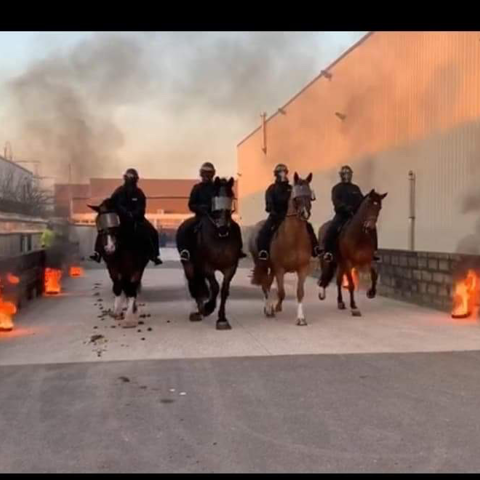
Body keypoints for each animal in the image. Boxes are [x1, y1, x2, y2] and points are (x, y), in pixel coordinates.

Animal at [88, 197, 150, 328]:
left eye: (116, 220)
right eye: (99, 223)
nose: (109, 248)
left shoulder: (137, 267)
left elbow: (131, 287)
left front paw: (130, 318)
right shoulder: (112, 266)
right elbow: (117, 285)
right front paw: (117, 311)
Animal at [177, 176, 242, 330]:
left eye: (230, 196)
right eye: (215, 198)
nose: (223, 228)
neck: (219, 237)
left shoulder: (231, 268)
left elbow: (224, 290)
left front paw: (222, 319)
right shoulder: (207, 266)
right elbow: (215, 287)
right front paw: (208, 307)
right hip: (189, 265)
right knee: (195, 284)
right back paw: (199, 311)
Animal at [249, 172, 316, 326]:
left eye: (310, 196)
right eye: (296, 197)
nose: (305, 214)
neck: (294, 239)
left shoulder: (303, 269)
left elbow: (299, 292)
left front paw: (301, 318)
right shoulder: (279, 269)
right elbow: (281, 292)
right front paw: (276, 307)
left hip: (272, 269)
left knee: (268, 283)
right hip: (263, 265)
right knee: (265, 285)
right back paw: (268, 309)